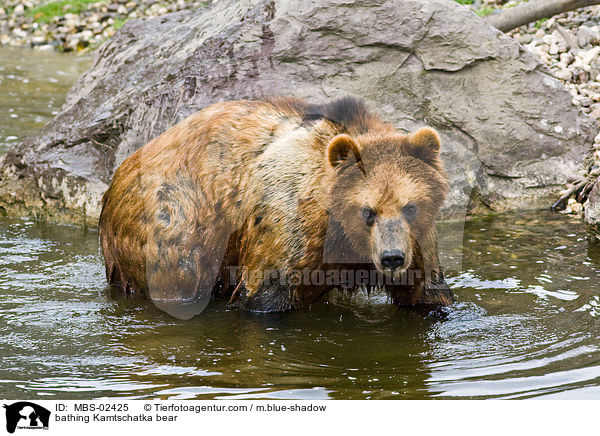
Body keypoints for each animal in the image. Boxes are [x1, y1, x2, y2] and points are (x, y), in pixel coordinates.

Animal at [99, 97, 454, 318]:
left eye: (410, 207)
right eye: (367, 210)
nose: (392, 257)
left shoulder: (418, 244)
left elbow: (426, 293)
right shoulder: (284, 227)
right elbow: (268, 294)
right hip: (179, 219)